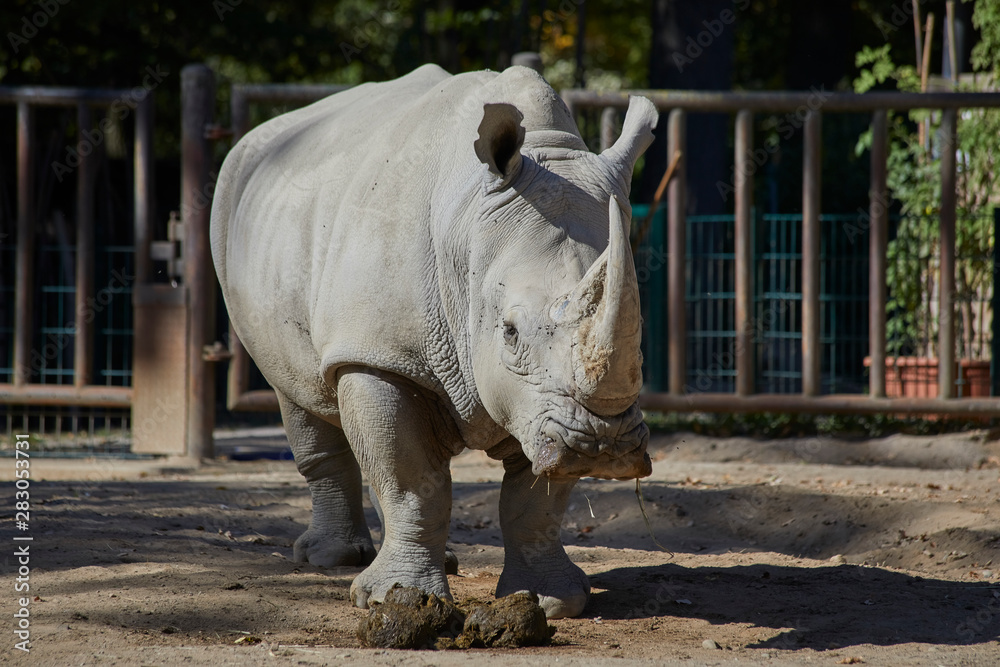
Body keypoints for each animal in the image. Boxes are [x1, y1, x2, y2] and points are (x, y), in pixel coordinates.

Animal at [211, 64, 657, 619]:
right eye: (510, 332)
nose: (603, 445)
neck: (466, 231)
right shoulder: (380, 355)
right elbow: (410, 481)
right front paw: (396, 600)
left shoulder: (541, 408)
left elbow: (534, 499)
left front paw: (549, 602)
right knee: (297, 392)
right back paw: (330, 560)